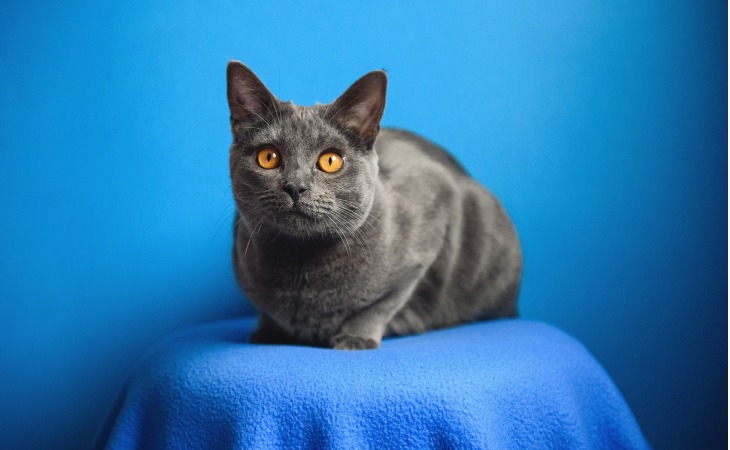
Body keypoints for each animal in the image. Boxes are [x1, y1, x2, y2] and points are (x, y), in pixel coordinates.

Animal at [225, 62, 520, 352]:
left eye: (330, 161)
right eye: (268, 157)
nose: (296, 186)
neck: (300, 265)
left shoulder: (434, 204)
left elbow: (383, 304)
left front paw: (356, 337)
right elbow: (267, 312)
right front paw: (268, 332)